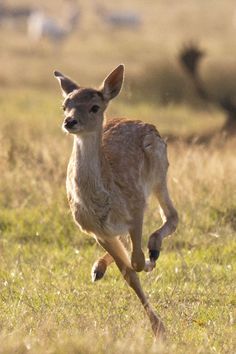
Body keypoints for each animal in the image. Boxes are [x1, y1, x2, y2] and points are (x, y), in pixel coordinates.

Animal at [54, 63, 179, 338]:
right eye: (65, 104)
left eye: (94, 107)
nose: (70, 121)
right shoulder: (95, 230)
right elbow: (129, 272)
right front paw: (158, 328)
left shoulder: (136, 208)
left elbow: (136, 261)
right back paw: (98, 268)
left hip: (159, 172)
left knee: (172, 216)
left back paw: (154, 248)